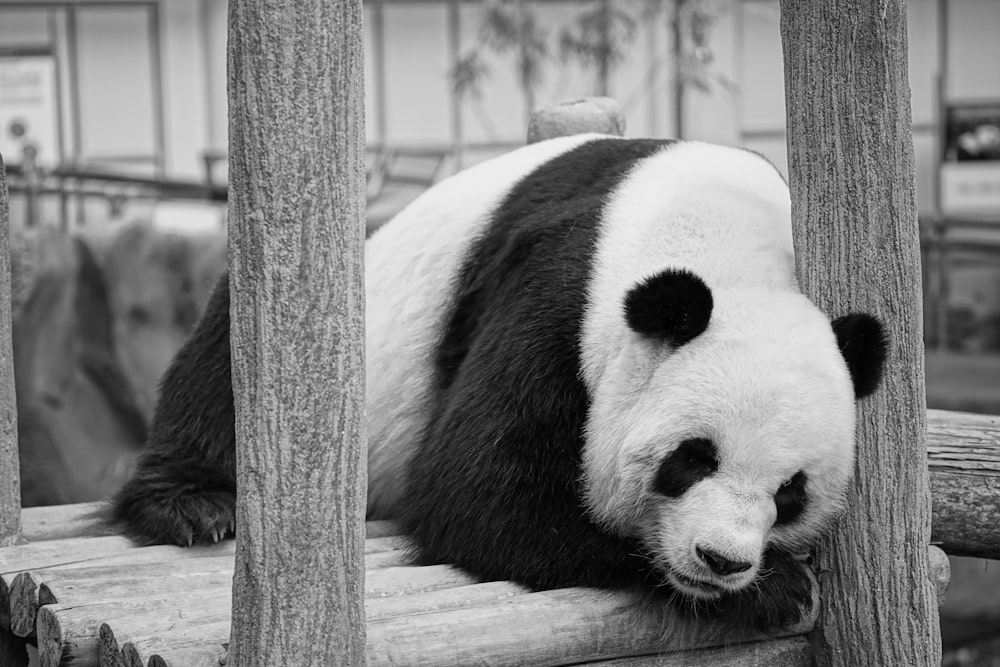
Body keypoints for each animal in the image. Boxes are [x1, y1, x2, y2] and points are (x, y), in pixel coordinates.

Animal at [113, 134, 888, 632]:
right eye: (692, 457)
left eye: (791, 493)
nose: (720, 561)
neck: (733, 244)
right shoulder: (561, 295)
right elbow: (479, 492)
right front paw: (780, 590)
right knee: (227, 360)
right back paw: (194, 505)